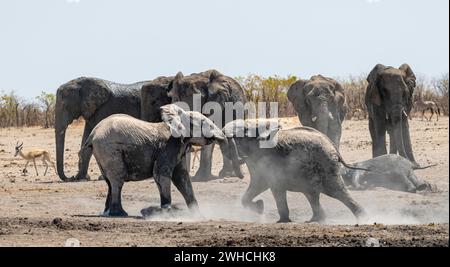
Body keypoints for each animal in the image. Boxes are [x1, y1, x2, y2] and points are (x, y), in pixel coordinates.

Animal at [82, 103, 227, 217]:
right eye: (205, 124)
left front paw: (198, 215)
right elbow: (160, 174)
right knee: (117, 178)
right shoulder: (168, 147)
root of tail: (93, 134)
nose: (224, 138)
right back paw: (119, 214)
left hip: (102, 152)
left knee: (109, 182)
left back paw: (107, 213)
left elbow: (182, 178)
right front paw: (167, 213)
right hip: (109, 149)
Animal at [221, 121, 366, 224]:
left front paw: (281, 221)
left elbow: (275, 188)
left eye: (244, 131)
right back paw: (314, 220)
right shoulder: (256, 162)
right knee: (312, 195)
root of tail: (333, 146)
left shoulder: (270, 161)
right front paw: (260, 207)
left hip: (327, 165)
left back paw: (362, 218)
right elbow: (258, 185)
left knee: (336, 191)